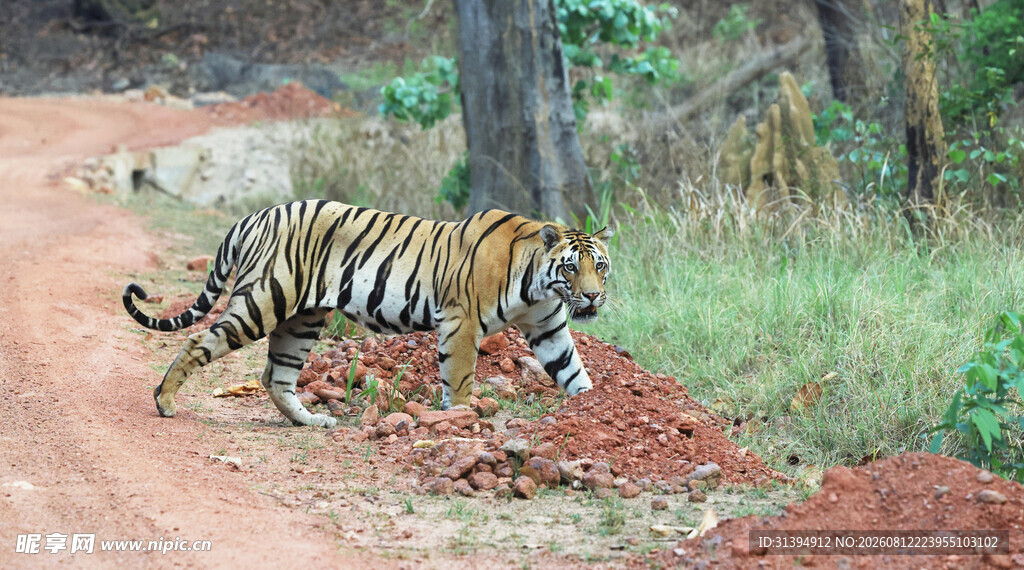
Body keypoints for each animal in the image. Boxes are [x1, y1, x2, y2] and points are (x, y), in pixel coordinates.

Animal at [122, 200, 613, 428]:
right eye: (572, 267)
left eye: (600, 265)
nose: (591, 297)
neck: (537, 283)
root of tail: (255, 215)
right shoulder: (460, 323)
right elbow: (460, 381)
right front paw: (459, 421)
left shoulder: (548, 327)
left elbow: (573, 371)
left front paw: (592, 410)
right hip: (262, 302)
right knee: (199, 340)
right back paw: (165, 402)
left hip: (302, 319)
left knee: (275, 376)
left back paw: (312, 421)